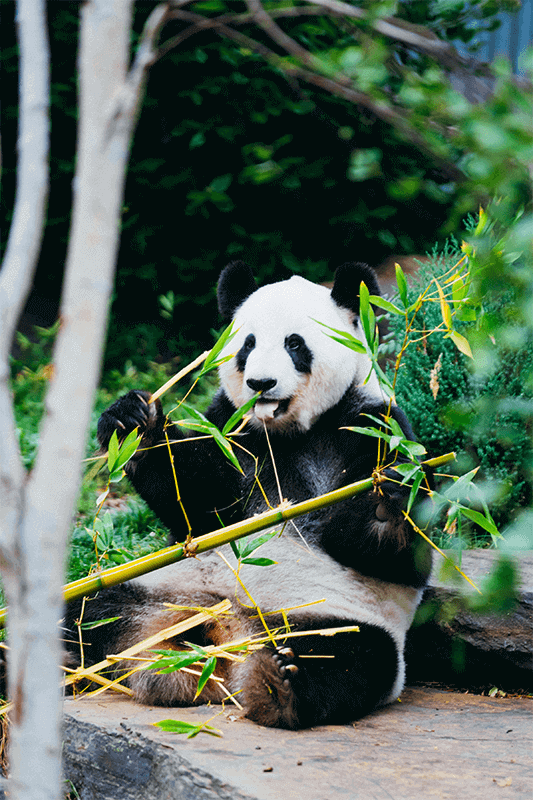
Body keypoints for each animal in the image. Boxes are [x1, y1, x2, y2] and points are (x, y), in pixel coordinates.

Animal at [67, 261, 432, 730]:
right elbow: (198, 503)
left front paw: (385, 500)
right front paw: (133, 421)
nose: (261, 383)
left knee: (352, 657)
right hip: (152, 588)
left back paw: (282, 683)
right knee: (88, 614)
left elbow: (401, 556)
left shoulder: (372, 424)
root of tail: (222, 637)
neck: (287, 432)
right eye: (248, 344)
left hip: (331, 617)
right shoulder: (232, 428)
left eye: (295, 343)